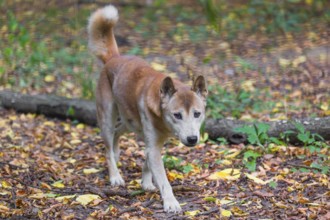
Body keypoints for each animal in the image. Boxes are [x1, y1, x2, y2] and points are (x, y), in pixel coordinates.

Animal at [87, 4, 206, 212]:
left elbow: (147, 164)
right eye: (177, 115)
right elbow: (164, 181)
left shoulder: (156, 144)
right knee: (107, 149)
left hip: (129, 122)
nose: (192, 139)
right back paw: (115, 176)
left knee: (118, 134)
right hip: (107, 118)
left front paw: (146, 183)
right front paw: (171, 202)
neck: (162, 121)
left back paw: (117, 154)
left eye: (197, 114)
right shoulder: (153, 145)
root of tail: (113, 58)